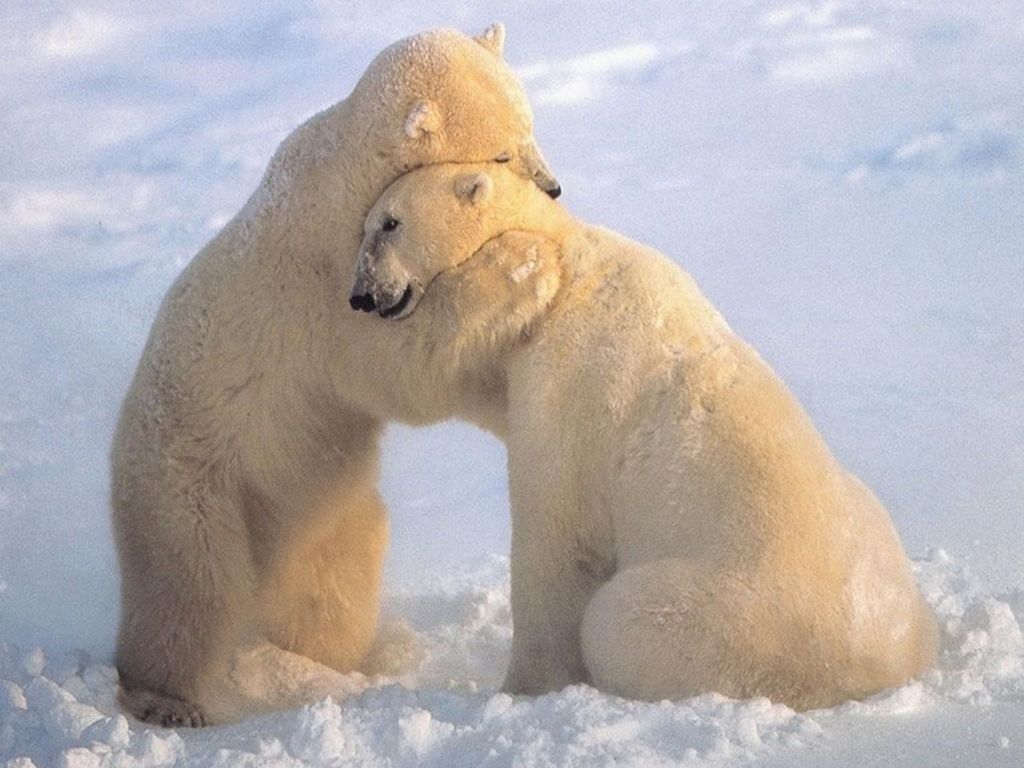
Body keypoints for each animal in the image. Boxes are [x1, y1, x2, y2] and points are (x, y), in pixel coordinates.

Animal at [111, 23, 561, 727]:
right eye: (500, 151)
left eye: (529, 125)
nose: (553, 187)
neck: (344, 175)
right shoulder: (325, 291)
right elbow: (403, 366)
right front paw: (521, 272)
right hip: (189, 482)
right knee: (190, 589)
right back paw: (168, 699)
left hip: (320, 505)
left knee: (333, 582)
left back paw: (353, 658)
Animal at [352, 161, 939, 710]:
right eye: (371, 224)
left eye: (390, 223)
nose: (361, 295)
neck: (574, 267)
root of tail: (875, 668)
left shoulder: (570, 386)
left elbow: (557, 536)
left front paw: (523, 687)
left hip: (726, 616)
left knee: (616, 620)